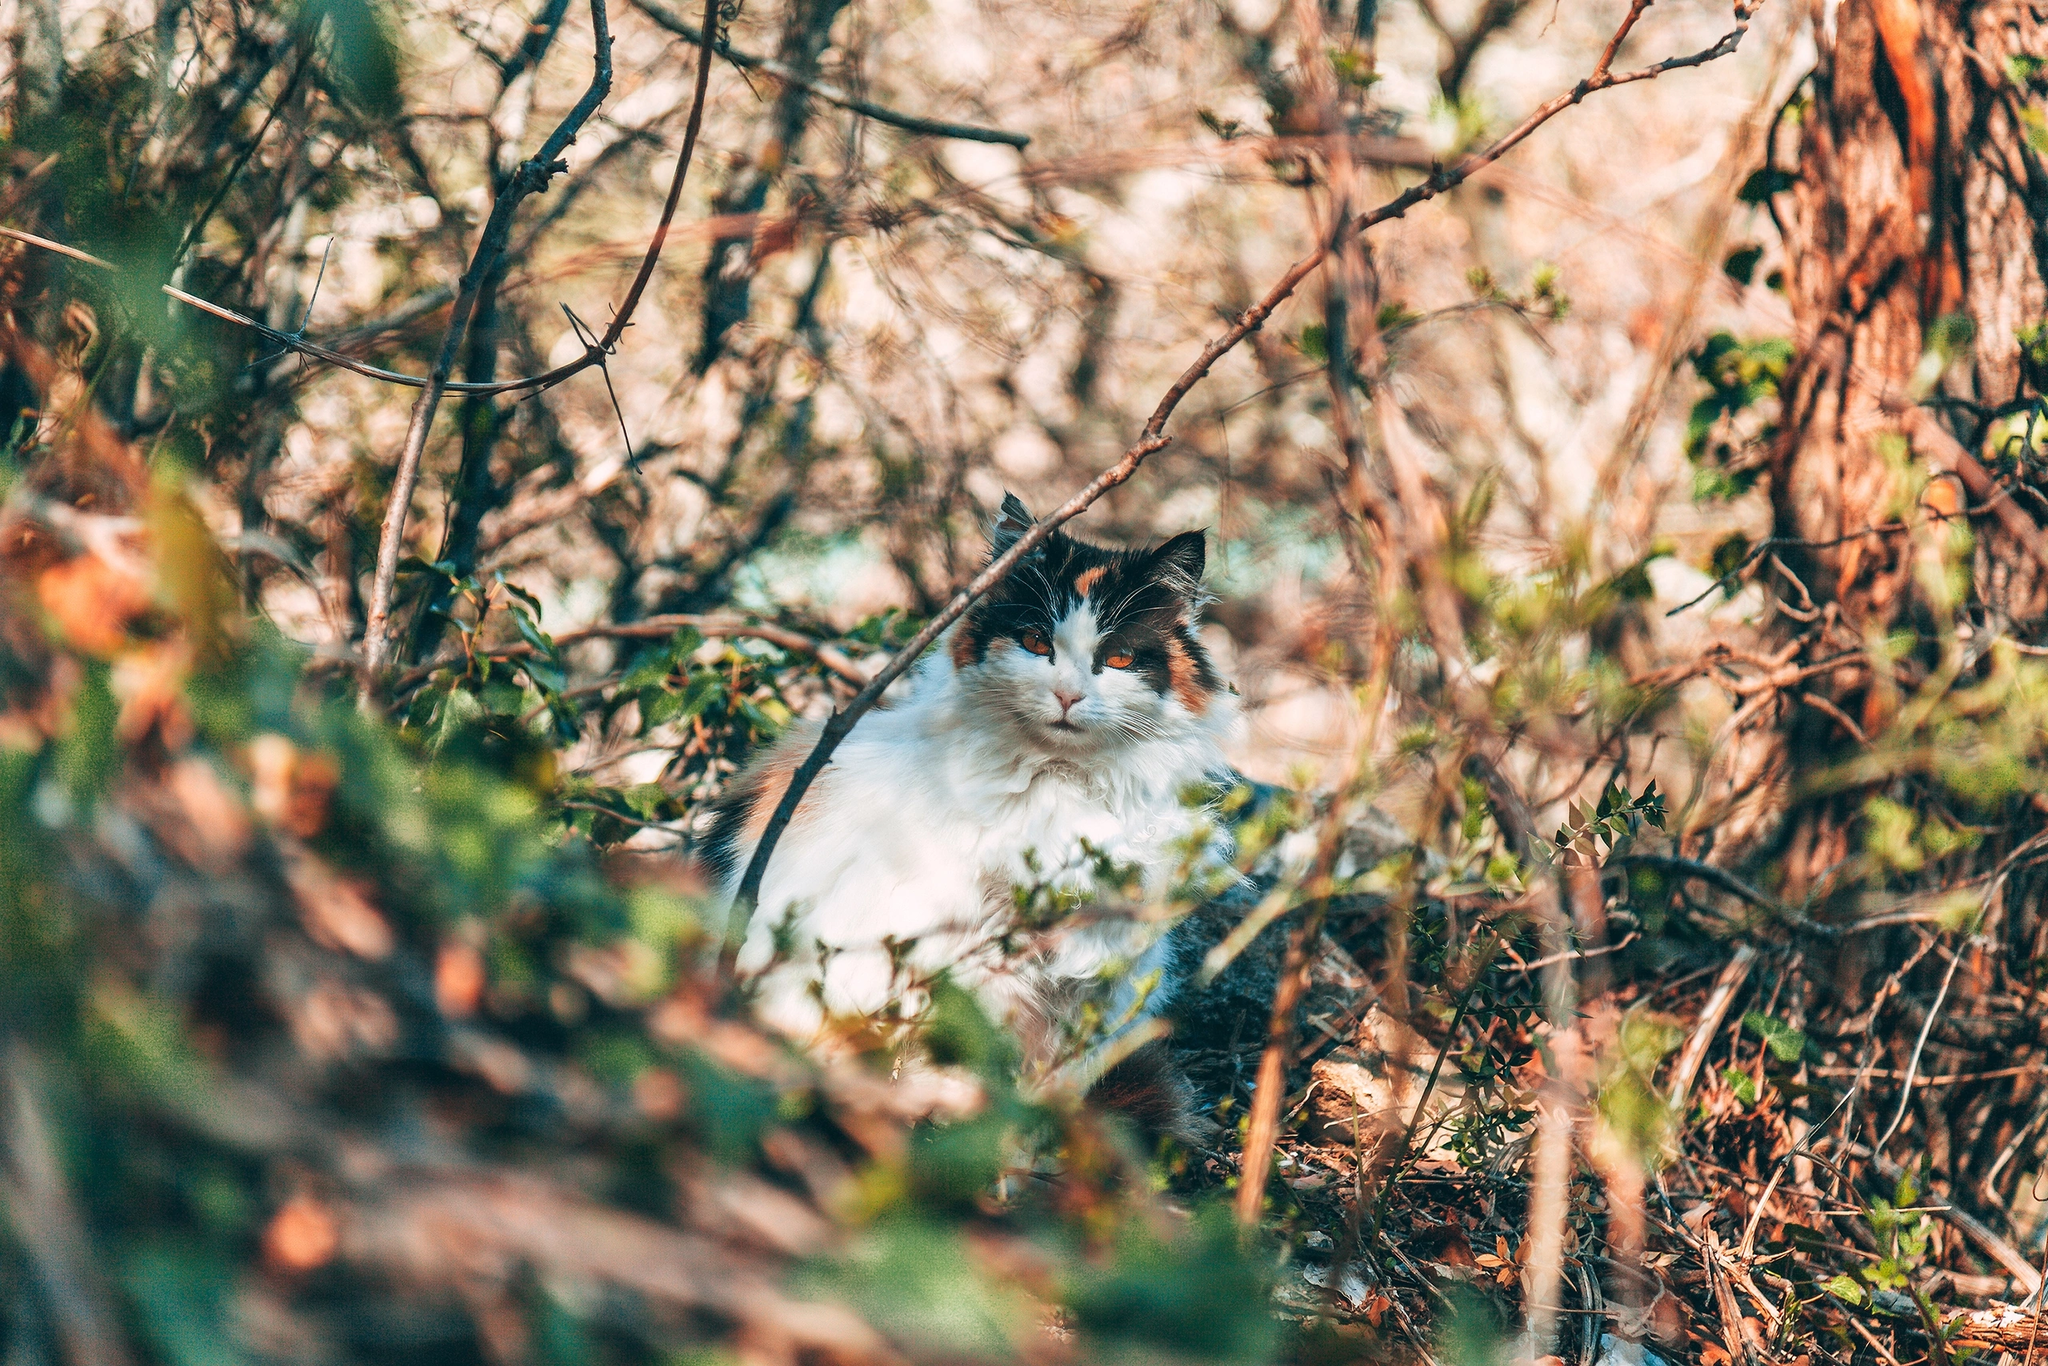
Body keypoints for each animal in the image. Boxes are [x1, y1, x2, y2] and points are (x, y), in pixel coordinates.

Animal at [704, 493, 1236, 1089]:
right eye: (1036, 643)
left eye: (1119, 658)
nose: (1068, 695)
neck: (1066, 785)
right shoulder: (973, 955)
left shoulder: (1099, 975)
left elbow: (1062, 1073)